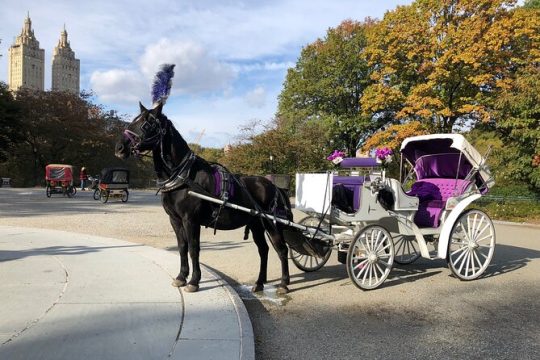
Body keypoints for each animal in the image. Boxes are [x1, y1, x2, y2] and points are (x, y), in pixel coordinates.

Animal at [114, 101, 292, 292]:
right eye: (134, 120)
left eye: (146, 124)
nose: (119, 148)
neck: (184, 177)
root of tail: (274, 185)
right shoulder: (175, 220)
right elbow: (182, 247)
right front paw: (181, 277)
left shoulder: (191, 220)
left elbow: (194, 248)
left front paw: (194, 281)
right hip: (256, 224)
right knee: (263, 250)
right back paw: (259, 283)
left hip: (271, 224)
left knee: (282, 250)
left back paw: (283, 283)